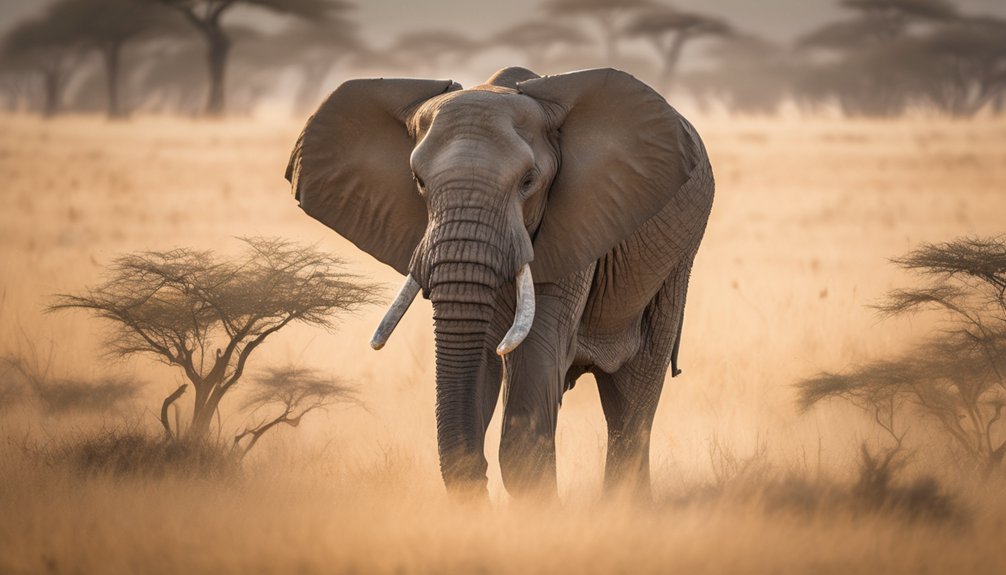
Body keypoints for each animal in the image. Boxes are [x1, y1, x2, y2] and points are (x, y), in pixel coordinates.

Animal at [286, 66, 714, 500]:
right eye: (419, 182)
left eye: (528, 181)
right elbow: (480, 359)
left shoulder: (576, 223)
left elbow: (535, 365)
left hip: (681, 252)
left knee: (633, 393)